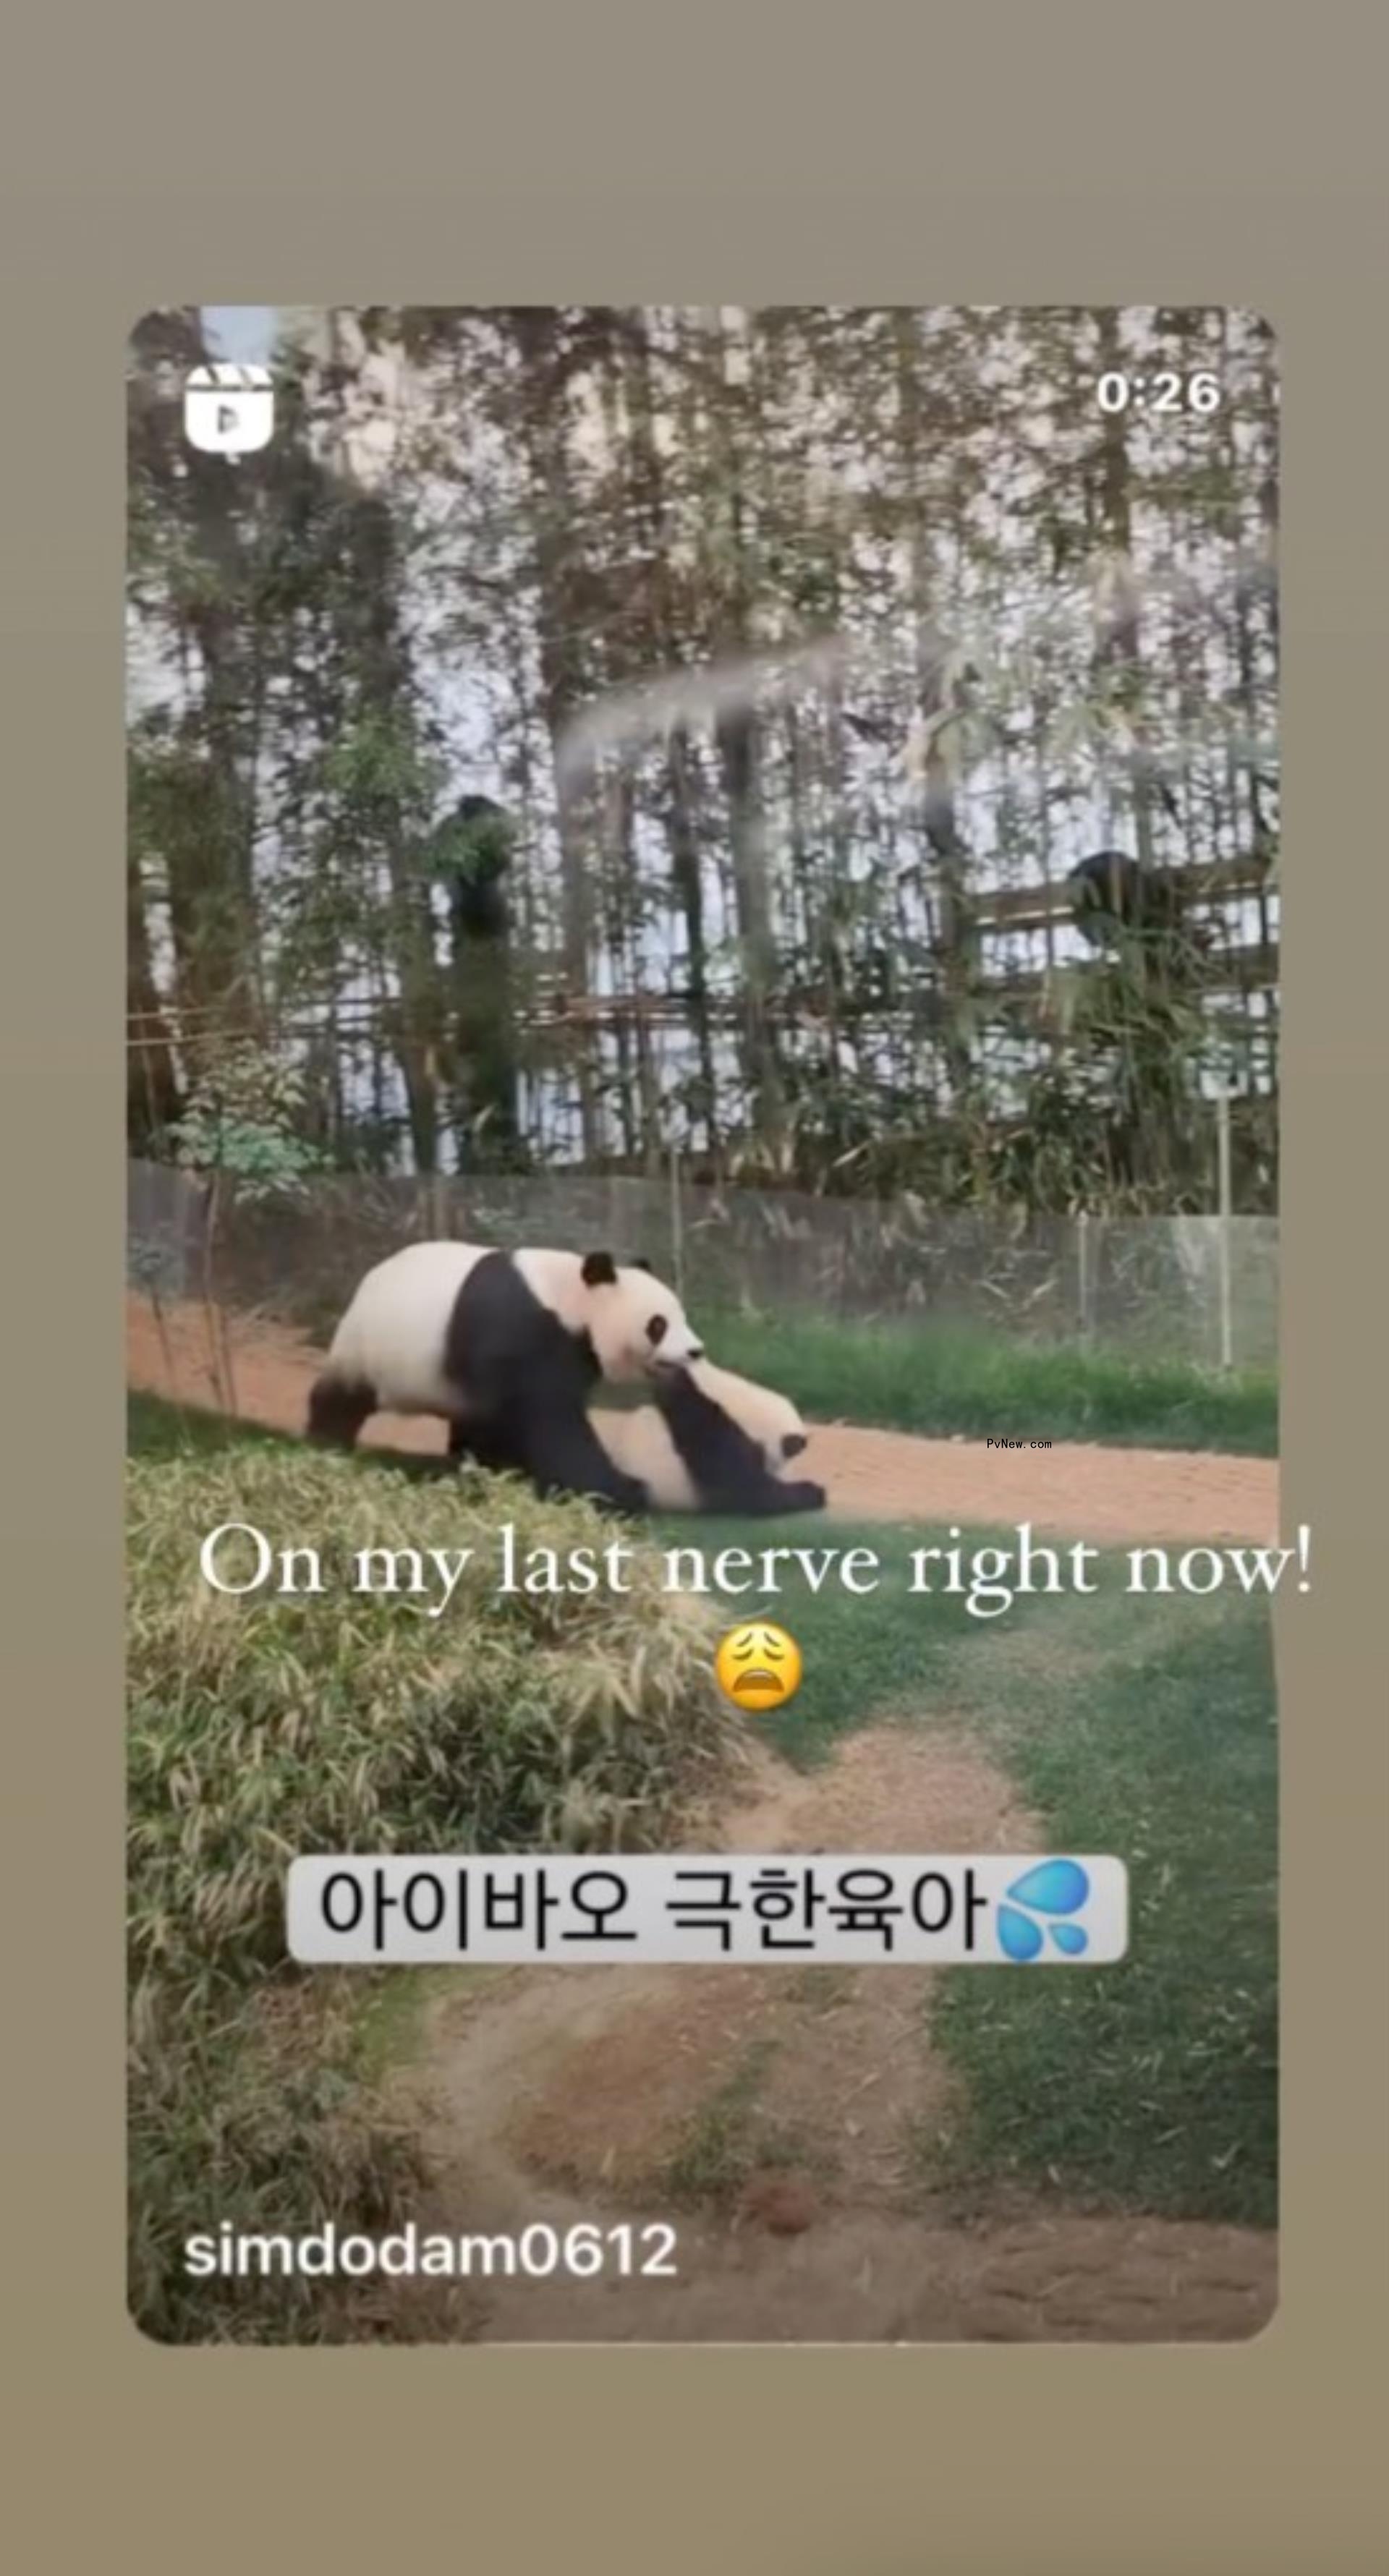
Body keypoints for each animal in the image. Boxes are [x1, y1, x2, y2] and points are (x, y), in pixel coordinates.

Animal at [306, 1241, 706, 1512]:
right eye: (658, 1324)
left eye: (682, 1317)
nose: (696, 1351)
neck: (567, 1296)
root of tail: (370, 1279)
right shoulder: (517, 1325)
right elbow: (545, 1417)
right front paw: (621, 1491)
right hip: (369, 1346)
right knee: (342, 1399)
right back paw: (326, 1443)